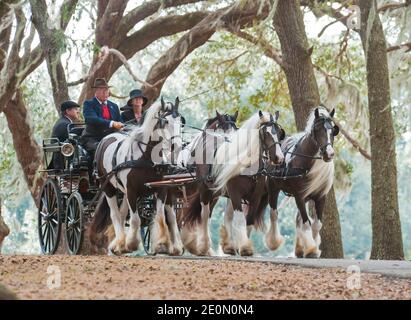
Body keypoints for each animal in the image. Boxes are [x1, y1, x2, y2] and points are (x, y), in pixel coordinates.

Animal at [91, 97, 187, 255]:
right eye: (165, 121)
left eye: (180, 121)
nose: (177, 146)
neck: (146, 157)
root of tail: (107, 137)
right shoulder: (132, 190)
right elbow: (136, 219)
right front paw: (131, 244)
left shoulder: (161, 189)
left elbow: (160, 216)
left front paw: (162, 243)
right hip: (108, 187)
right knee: (115, 214)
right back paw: (120, 242)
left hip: (123, 191)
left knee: (123, 213)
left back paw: (119, 245)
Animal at [182, 111, 284, 256]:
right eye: (266, 133)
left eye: (279, 132)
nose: (279, 158)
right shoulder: (235, 194)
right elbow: (240, 219)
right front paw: (245, 246)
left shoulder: (256, 196)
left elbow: (249, 220)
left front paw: (245, 247)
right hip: (205, 190)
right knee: (205, 214)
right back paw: (204, 246)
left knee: (225, 216)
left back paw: (229, 246)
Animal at [268, 106, 342, 258]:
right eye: (318, 129)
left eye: (333, 130)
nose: (329, 153)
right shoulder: (299, 196)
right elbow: (306, 223)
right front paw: (311, 249)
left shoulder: (320, 197)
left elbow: (316, 225)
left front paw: (313, 247)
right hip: (273, 187)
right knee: (273, 213)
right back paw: (274, 242)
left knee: (297, 219)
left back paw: (299, 249)